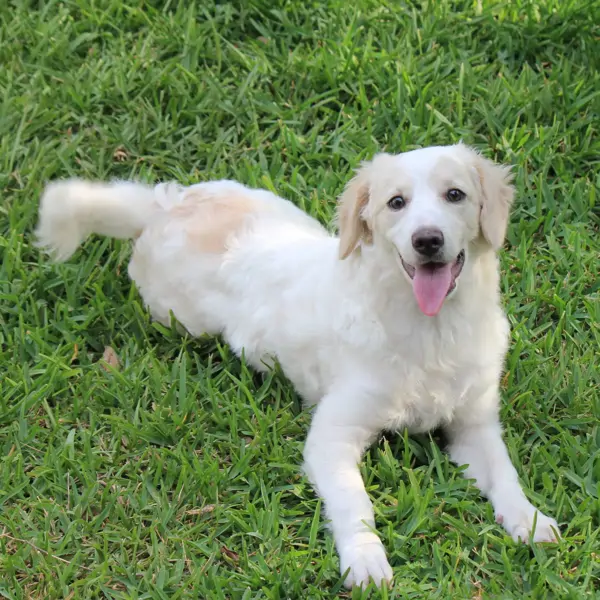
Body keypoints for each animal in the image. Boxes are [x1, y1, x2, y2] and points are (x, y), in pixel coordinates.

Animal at [35, 146, 560, 592]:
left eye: (455, 194)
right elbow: (354, 502)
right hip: (179, 317)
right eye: (396, 203)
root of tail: (164, 206)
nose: (427, 240)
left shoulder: (475, 424)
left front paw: (530, 520)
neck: (431, 332)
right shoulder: (331, 436)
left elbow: (505, 474)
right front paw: (366, 560)